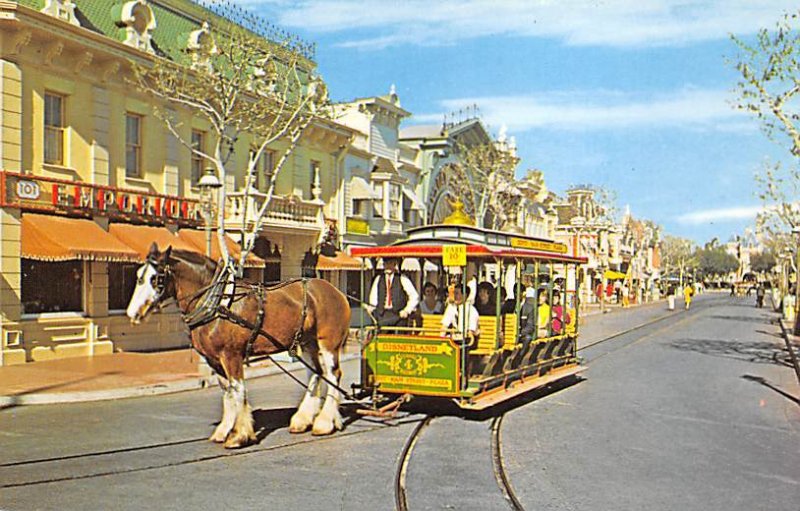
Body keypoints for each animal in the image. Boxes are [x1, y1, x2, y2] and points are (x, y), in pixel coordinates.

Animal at [126, 244, 350, 448]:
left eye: (155, 278)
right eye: (138, 275)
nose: (132, 313)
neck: (217, 303)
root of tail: (337, 292)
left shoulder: (231, 355)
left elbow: (238, 389)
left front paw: (239, 435)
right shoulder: (214, 360)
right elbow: (228, 393)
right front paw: (224, 430)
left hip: (327, 343)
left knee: (333, 375)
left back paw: (324, 423)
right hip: (307, 342)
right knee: (316, 373)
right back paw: (303, 420)